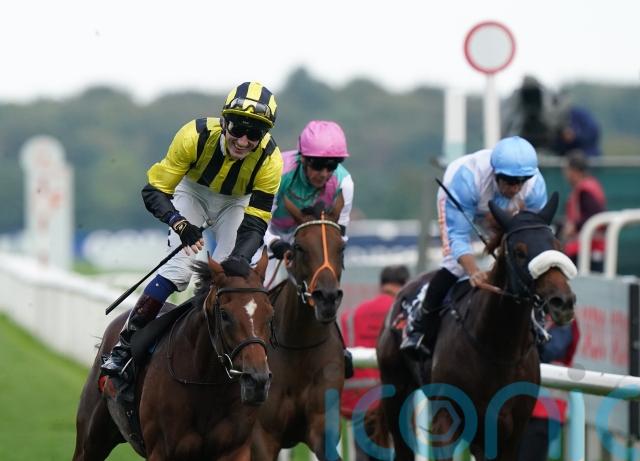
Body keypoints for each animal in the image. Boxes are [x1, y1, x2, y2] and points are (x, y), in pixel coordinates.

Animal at [73, 251, 274, 461]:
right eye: (225, 314)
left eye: (270, 314)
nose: (257, 381)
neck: (206, 384)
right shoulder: (161, 450)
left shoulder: (235, 449)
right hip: (90, 441)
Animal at [251, 200, 347, 460]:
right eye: (299, 247)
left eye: (341, 247)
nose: (327, 298)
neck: (298, 348)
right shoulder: (262, 436)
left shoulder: (322, 426)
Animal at [376, 193, 577, 461]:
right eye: (520, 252)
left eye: (557, 245)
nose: (562, 302)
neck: (498, 348)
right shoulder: (447, 418)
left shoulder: (510, 428)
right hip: (395, 389)